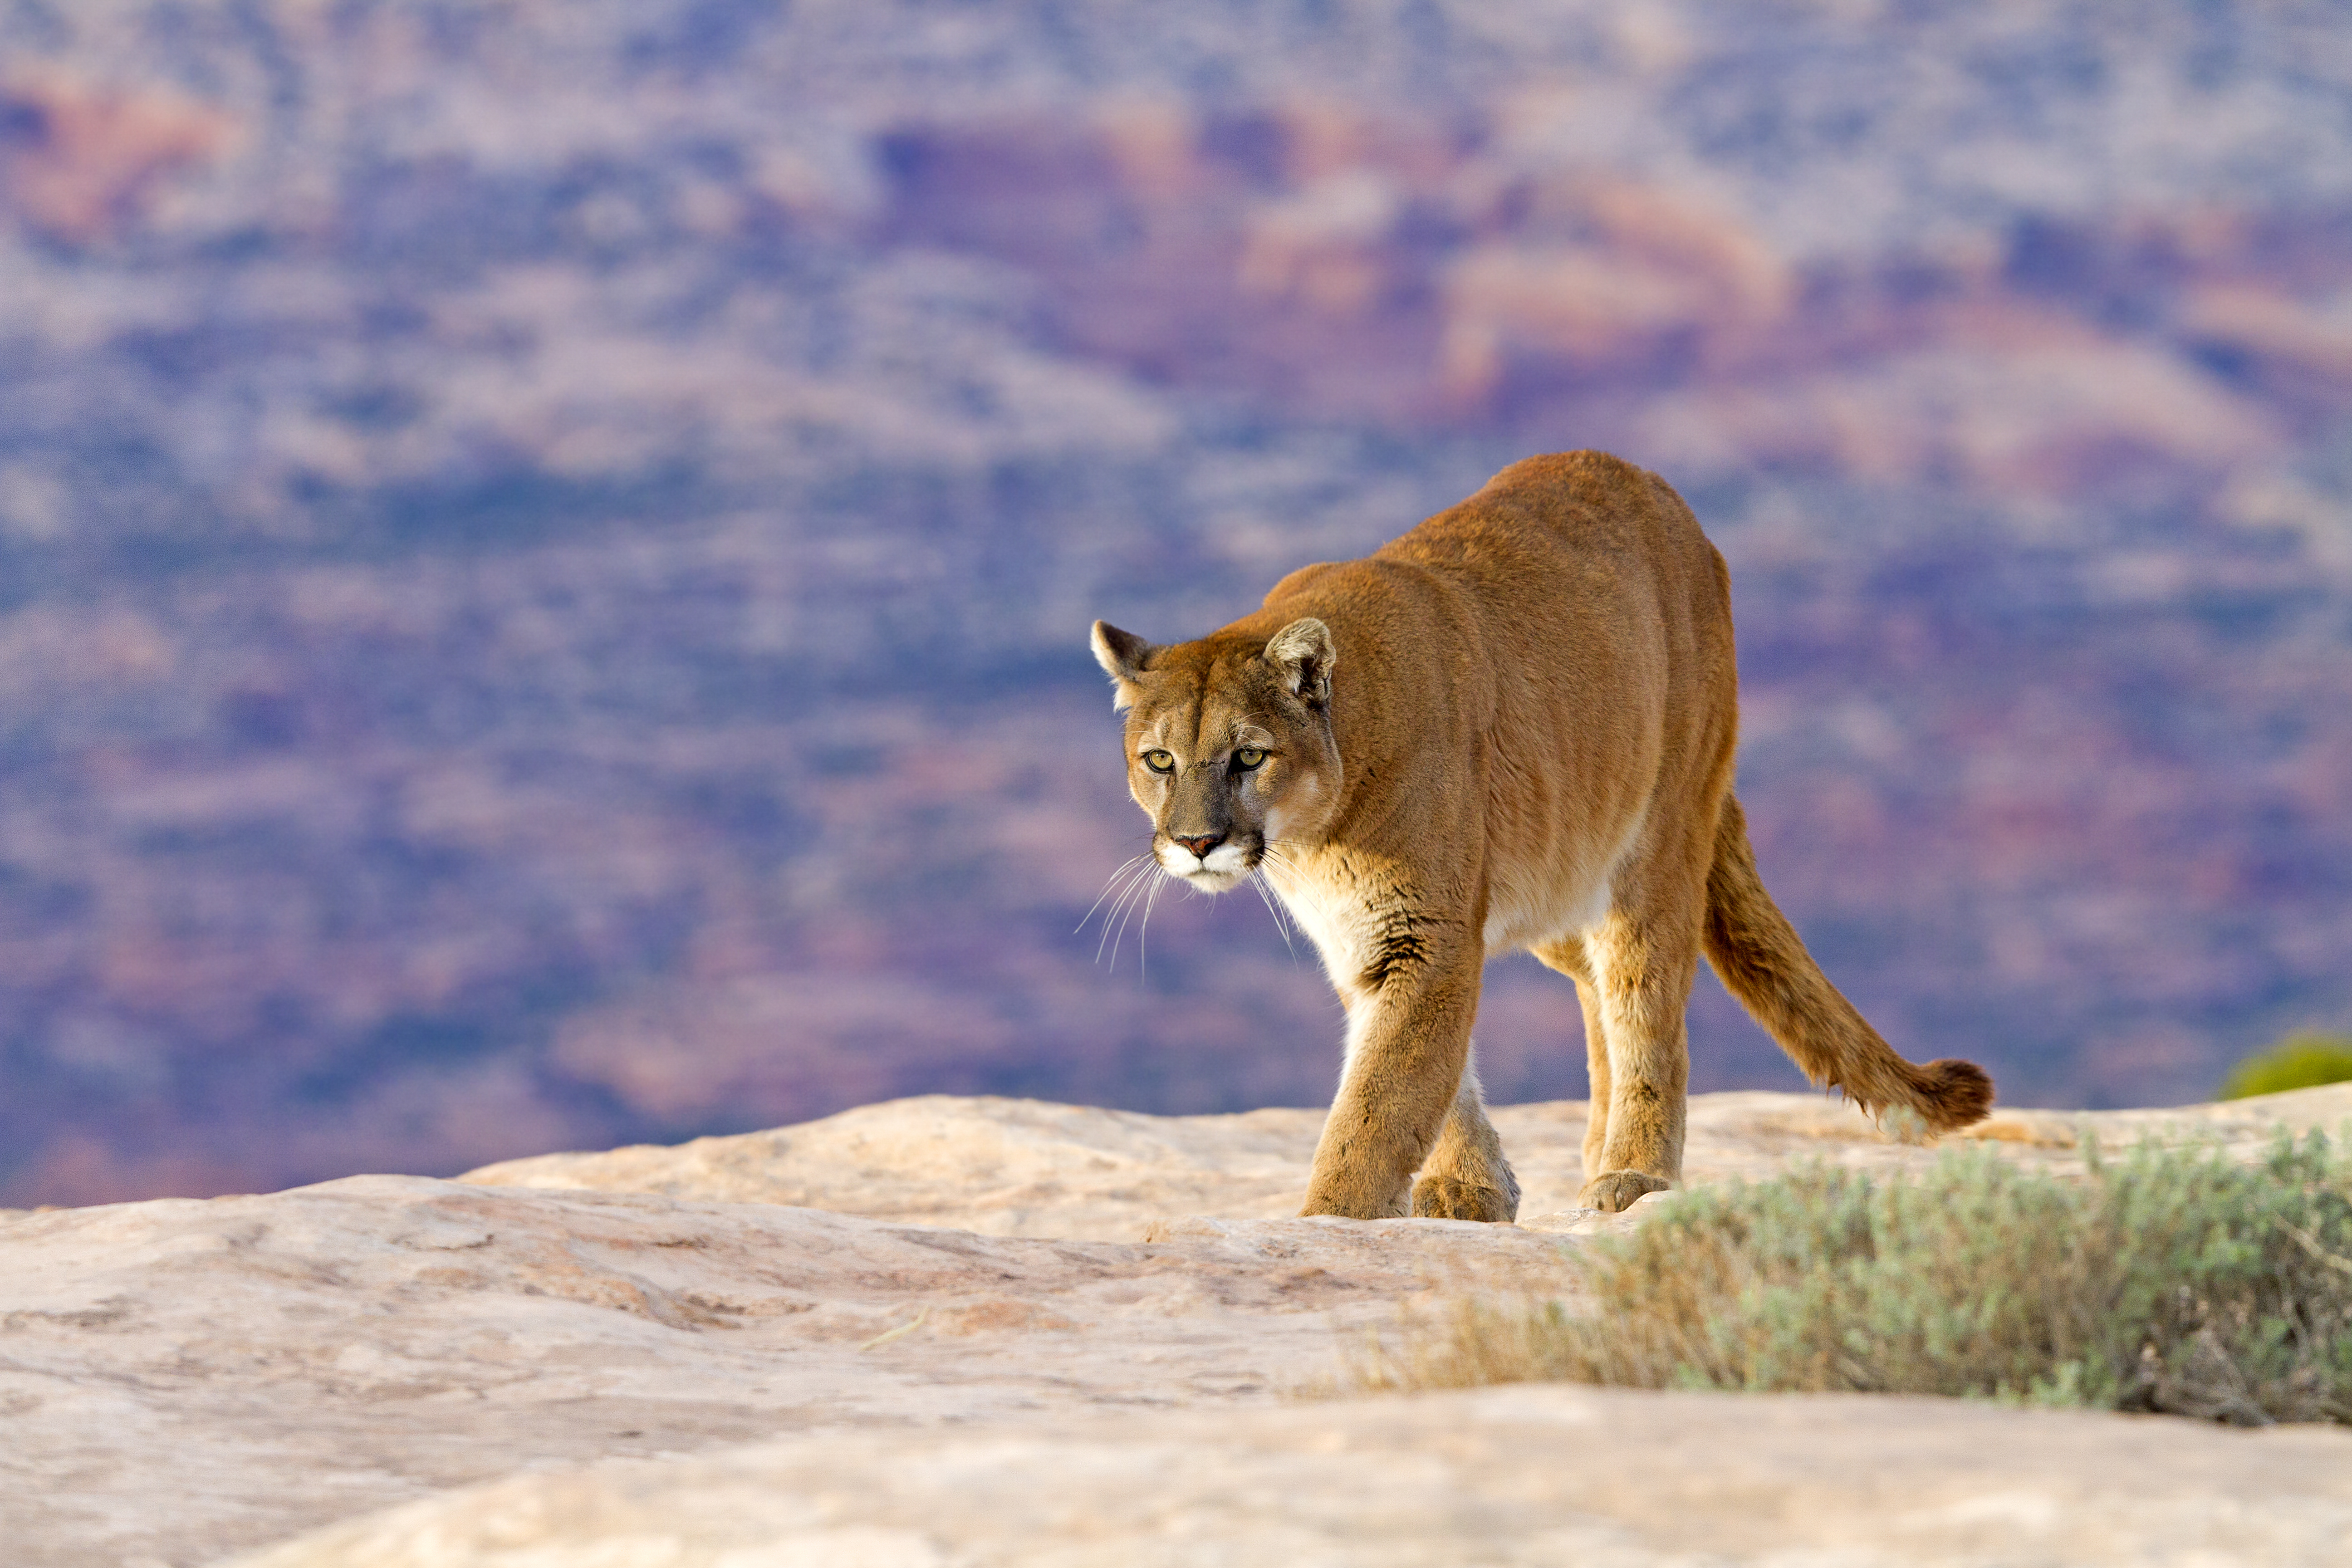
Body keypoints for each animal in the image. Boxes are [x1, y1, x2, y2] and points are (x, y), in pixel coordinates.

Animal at [1089, 450, 1994, 1219]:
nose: (1195, 843)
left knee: (1645, 1002)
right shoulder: (1374, 937)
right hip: (1558, 869)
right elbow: (1428, 1071)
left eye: (1248, 755)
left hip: (1655, 841)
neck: (1316, 833)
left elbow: (1383, 1094)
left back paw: (1633, 1171)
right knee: (1595, 989)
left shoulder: (1425, 930)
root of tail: (1662, 494)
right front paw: (1473, 1186)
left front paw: (1334, 1217)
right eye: (1159, 759)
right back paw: (1594, 1151)